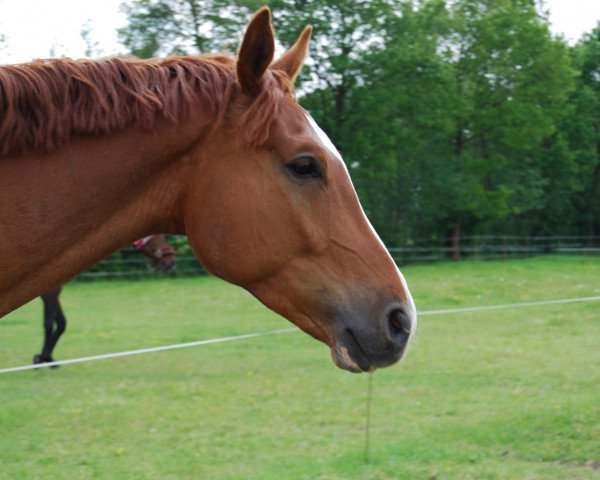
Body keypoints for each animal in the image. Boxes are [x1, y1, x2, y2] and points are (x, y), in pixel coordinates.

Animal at [33, 234, 175, 366]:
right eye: (159, 236)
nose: (171, 260)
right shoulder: (51, 292)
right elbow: (51, 323)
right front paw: (42, 358)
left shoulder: (54, 293)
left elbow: (58, 323)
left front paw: (47, 359)